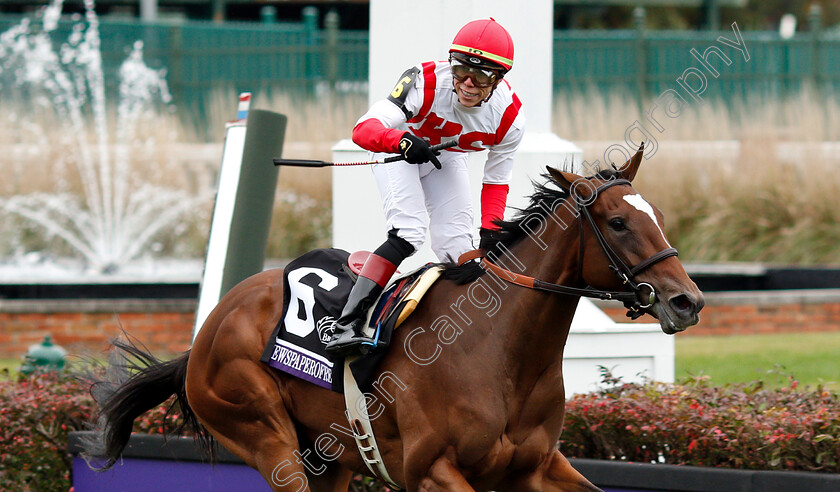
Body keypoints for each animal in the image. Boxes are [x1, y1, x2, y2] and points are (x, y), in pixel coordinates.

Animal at [93, 147, 704, 492]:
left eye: (658, 215)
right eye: (618, 222)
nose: (687, 301)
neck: (502, 351)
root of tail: (206, 332)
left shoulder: (534, 469)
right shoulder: (433, 470)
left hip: (332, 462)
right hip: (265, 436)